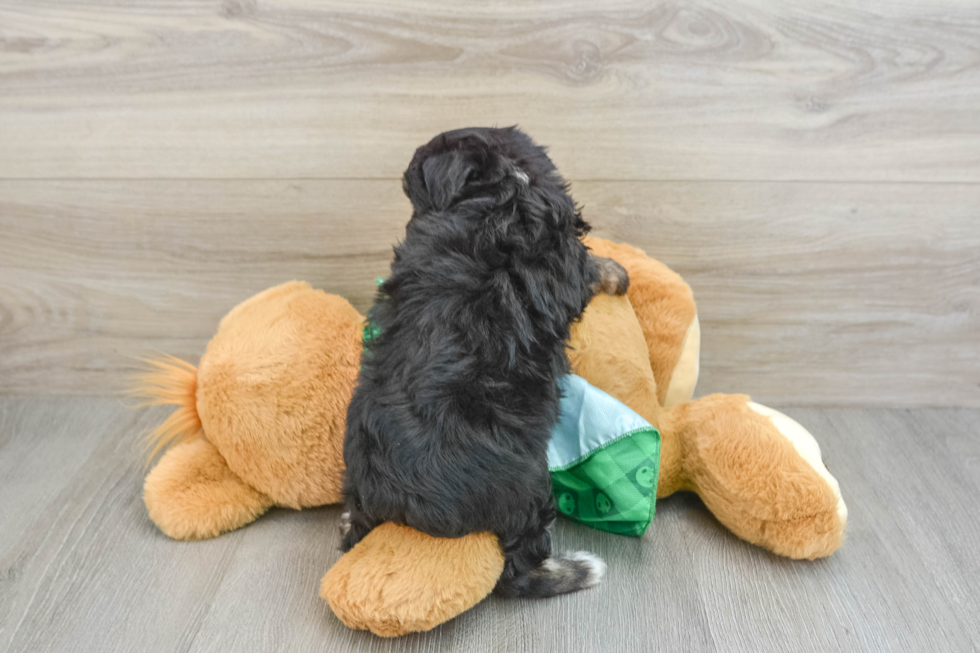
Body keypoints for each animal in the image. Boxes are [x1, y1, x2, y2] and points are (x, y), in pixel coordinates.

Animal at [340, 125, 632, 600]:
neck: (499, 189)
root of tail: (399, 505)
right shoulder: (562, 262)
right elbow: (590, 266)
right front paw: (616, 272)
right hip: (526, 484)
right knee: (516, 571)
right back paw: (576, 569)